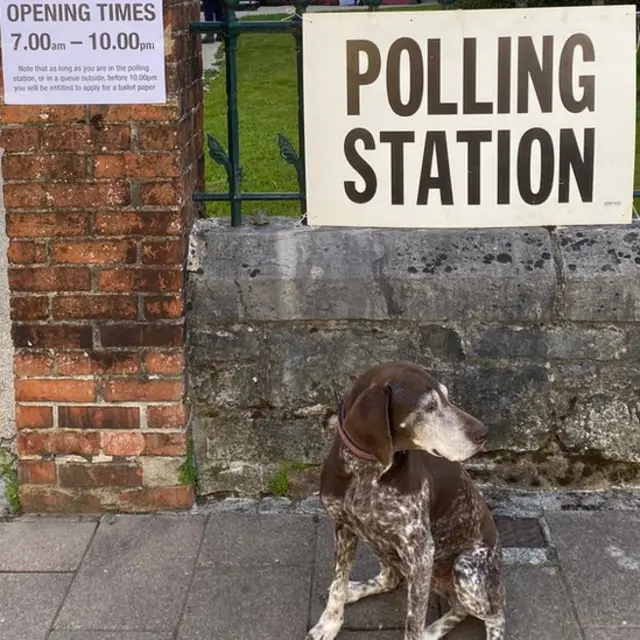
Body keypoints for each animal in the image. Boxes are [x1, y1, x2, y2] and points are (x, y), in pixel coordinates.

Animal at [306, 362, 504, 636]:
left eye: (446, 397)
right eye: (429, 406)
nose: (484, 433)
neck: (367, 469)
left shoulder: (420, 553)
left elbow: (413, 624)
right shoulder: (344, 527)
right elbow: (338, 583)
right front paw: (329, 624)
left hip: (466, 568)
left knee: (494, 615)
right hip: (380, 542)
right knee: (394, 579)